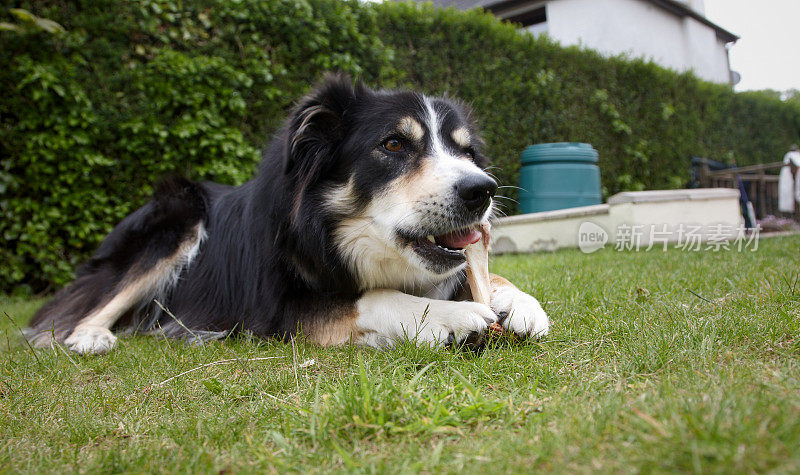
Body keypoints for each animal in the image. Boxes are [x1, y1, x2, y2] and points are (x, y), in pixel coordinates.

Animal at [26, 75, 552, 354]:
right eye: (393, 145)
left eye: (467, 153)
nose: (482, 190)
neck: (327, 233)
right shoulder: (273, 310)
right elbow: (372, 298)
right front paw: (450, 316)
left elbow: (488, 276)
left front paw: (519, 301)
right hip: (179, 218)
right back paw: (90, 335)